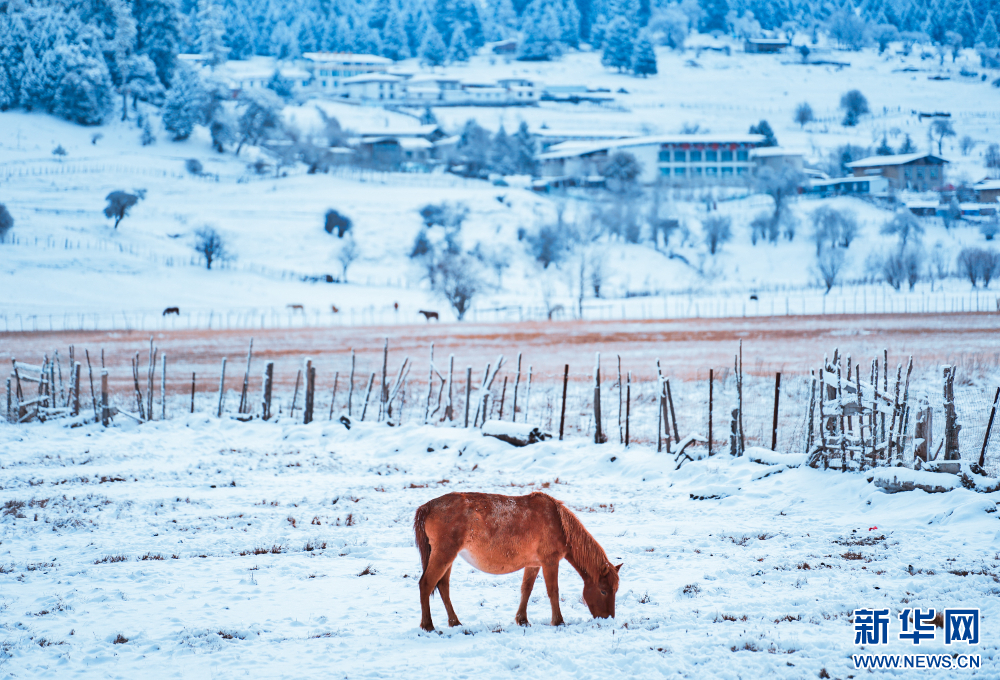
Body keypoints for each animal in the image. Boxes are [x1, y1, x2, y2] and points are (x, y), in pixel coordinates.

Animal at [413, 491, 621, 632]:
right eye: (603, 590)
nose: (608, 619)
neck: (558, 522)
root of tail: (427, 507)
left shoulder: (533, 564)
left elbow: (526, 590)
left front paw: (522, 620)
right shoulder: (550, 562)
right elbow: (553, 591)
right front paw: (558, 621)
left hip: (447, 557)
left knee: (442, 586)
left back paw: (455, 622)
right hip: (444, 554)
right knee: (426, 584)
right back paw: (428, 625)